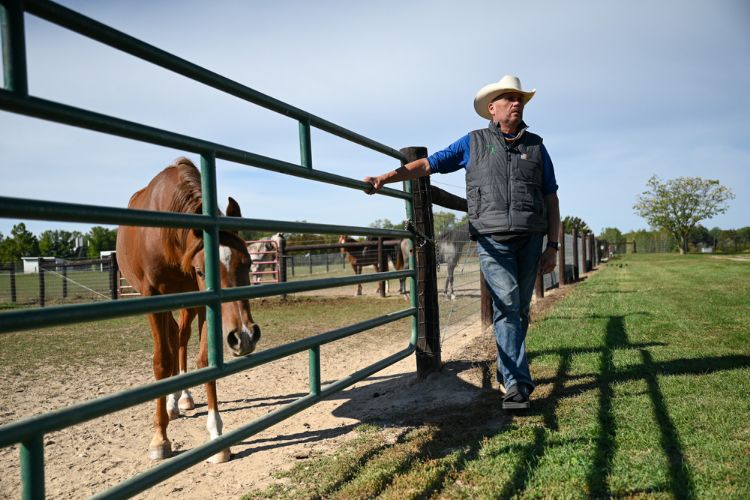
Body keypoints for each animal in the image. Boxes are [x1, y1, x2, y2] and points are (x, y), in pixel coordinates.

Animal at [116, 157, 261, 463]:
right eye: (201, 270)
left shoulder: (203, 301)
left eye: (247, 262)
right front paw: (159, 439)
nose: (244, 336)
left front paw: (217, 436)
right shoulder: (152, 297)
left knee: (179, 340)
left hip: (186, 305)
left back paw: (181, 398)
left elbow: (204, 359)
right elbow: (161, 362)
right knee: (171, 347)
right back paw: (171, 405)